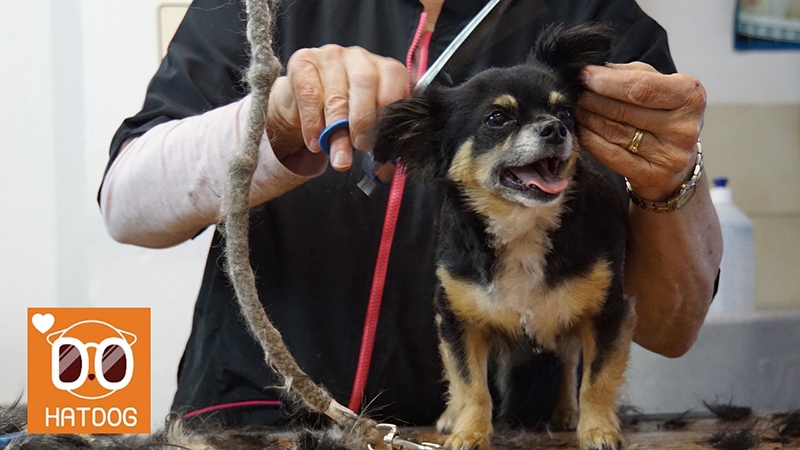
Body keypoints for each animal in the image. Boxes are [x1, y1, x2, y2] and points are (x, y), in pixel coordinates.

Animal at [374, 25, 636, 450]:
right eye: (497, 118)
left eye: (565, 112)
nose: (555, 128)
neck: (522, 226)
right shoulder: (459, 320)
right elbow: (470, 385)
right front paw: (468, 432)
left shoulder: (607, 312)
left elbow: (596, 380)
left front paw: (598, 430)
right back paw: (452, 417)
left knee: (567, 362)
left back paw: (567, 413)